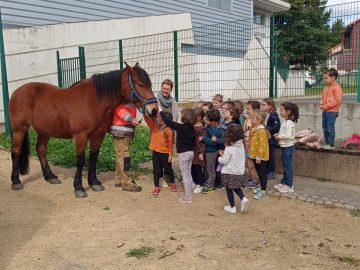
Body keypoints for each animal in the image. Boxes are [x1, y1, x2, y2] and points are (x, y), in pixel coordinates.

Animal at [9, 63, 158, 198]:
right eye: (140, 84)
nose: (154, 109)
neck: (94, 101)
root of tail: (17, 92)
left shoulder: (98, 135)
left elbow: (93, 157)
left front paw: (94, 183)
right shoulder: (80, 136)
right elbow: (81, 160)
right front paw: (79, 187)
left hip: (44, 131)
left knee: (41, 149)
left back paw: (50, 176)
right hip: (19, 129)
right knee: (16, 152)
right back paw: (16, 181)